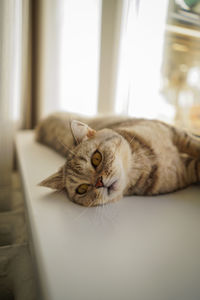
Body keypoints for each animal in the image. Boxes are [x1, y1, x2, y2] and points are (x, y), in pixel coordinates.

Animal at [36, 111, 200, 207]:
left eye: (96, 158)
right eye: (82, 189)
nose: (99, 183)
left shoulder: (174, 132)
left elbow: (194, 144)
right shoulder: (187, 169)